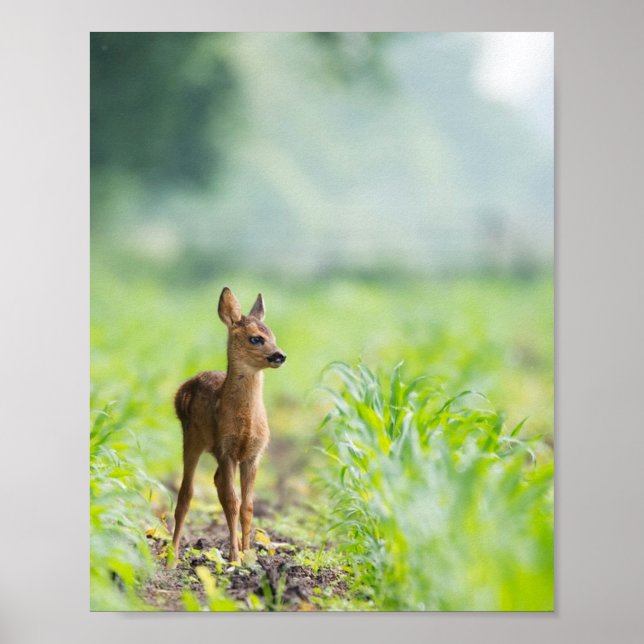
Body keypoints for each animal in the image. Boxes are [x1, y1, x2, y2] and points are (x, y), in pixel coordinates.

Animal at [168, 287, 286, 566]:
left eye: (273, 335)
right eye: (256, 339)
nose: (280, 355)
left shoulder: (253, 454)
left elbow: (247, 506)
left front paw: (248, 554)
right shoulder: (226, 449)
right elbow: (233, 502)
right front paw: (234, 558)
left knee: (217, 484)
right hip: (191, 438)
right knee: (186, 494)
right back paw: (173, 556)